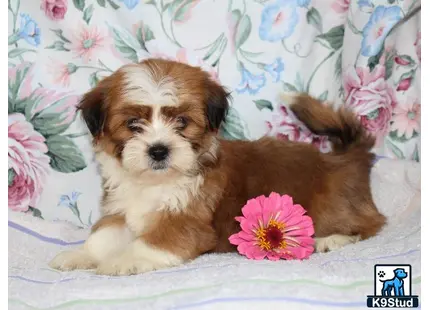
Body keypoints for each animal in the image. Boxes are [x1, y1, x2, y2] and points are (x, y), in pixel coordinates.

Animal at [49, 58, 386, 276]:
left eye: (181, 122)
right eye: (133, 124)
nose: (158, 150)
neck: (156, 182)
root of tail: (345, 157)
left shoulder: (187, 220)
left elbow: (153, 242)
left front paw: (123, 261)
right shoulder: (120, 208)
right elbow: (103, 234)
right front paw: (81, 255)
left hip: (330, 206)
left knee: (370, 225)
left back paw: (331, 239)